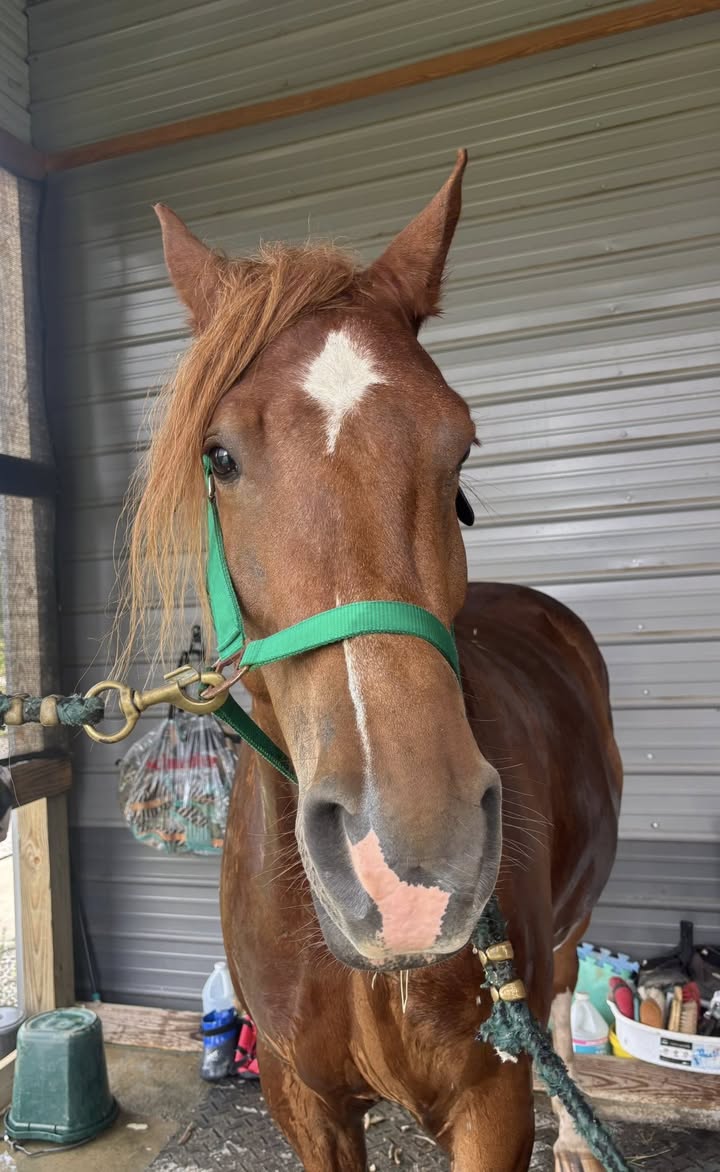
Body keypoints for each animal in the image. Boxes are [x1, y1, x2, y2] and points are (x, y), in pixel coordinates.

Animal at [128, 151, 622, 1171]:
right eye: (219, 457)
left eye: (461, 446)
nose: (409, 866)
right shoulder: (302, 1099)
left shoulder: (492, 1104)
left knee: (560, 1002)